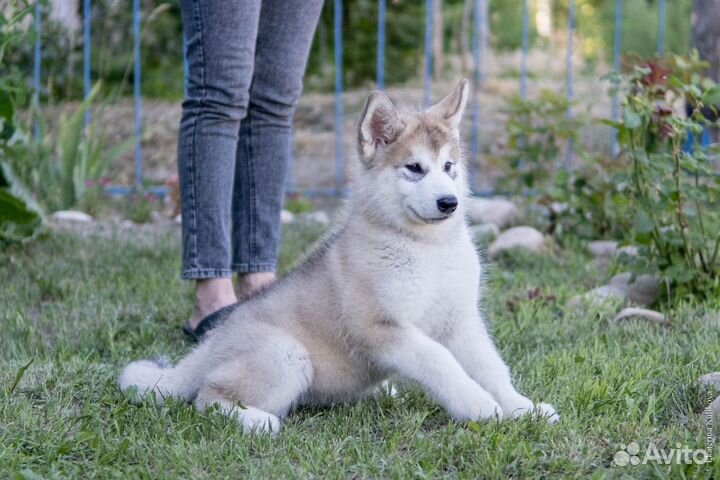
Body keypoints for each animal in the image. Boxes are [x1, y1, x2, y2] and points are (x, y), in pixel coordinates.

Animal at [119, 80, 556, 434]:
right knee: (207, 399)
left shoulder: (461, 320)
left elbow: (492, 367)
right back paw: (258, 421)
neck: (426, 248)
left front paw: (522, 407)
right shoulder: (382, 327)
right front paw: (480, 407)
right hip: (284, 355)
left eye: (450, 166)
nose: (449, 202)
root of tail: (213, 343)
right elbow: (440, 361)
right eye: (414, 168)